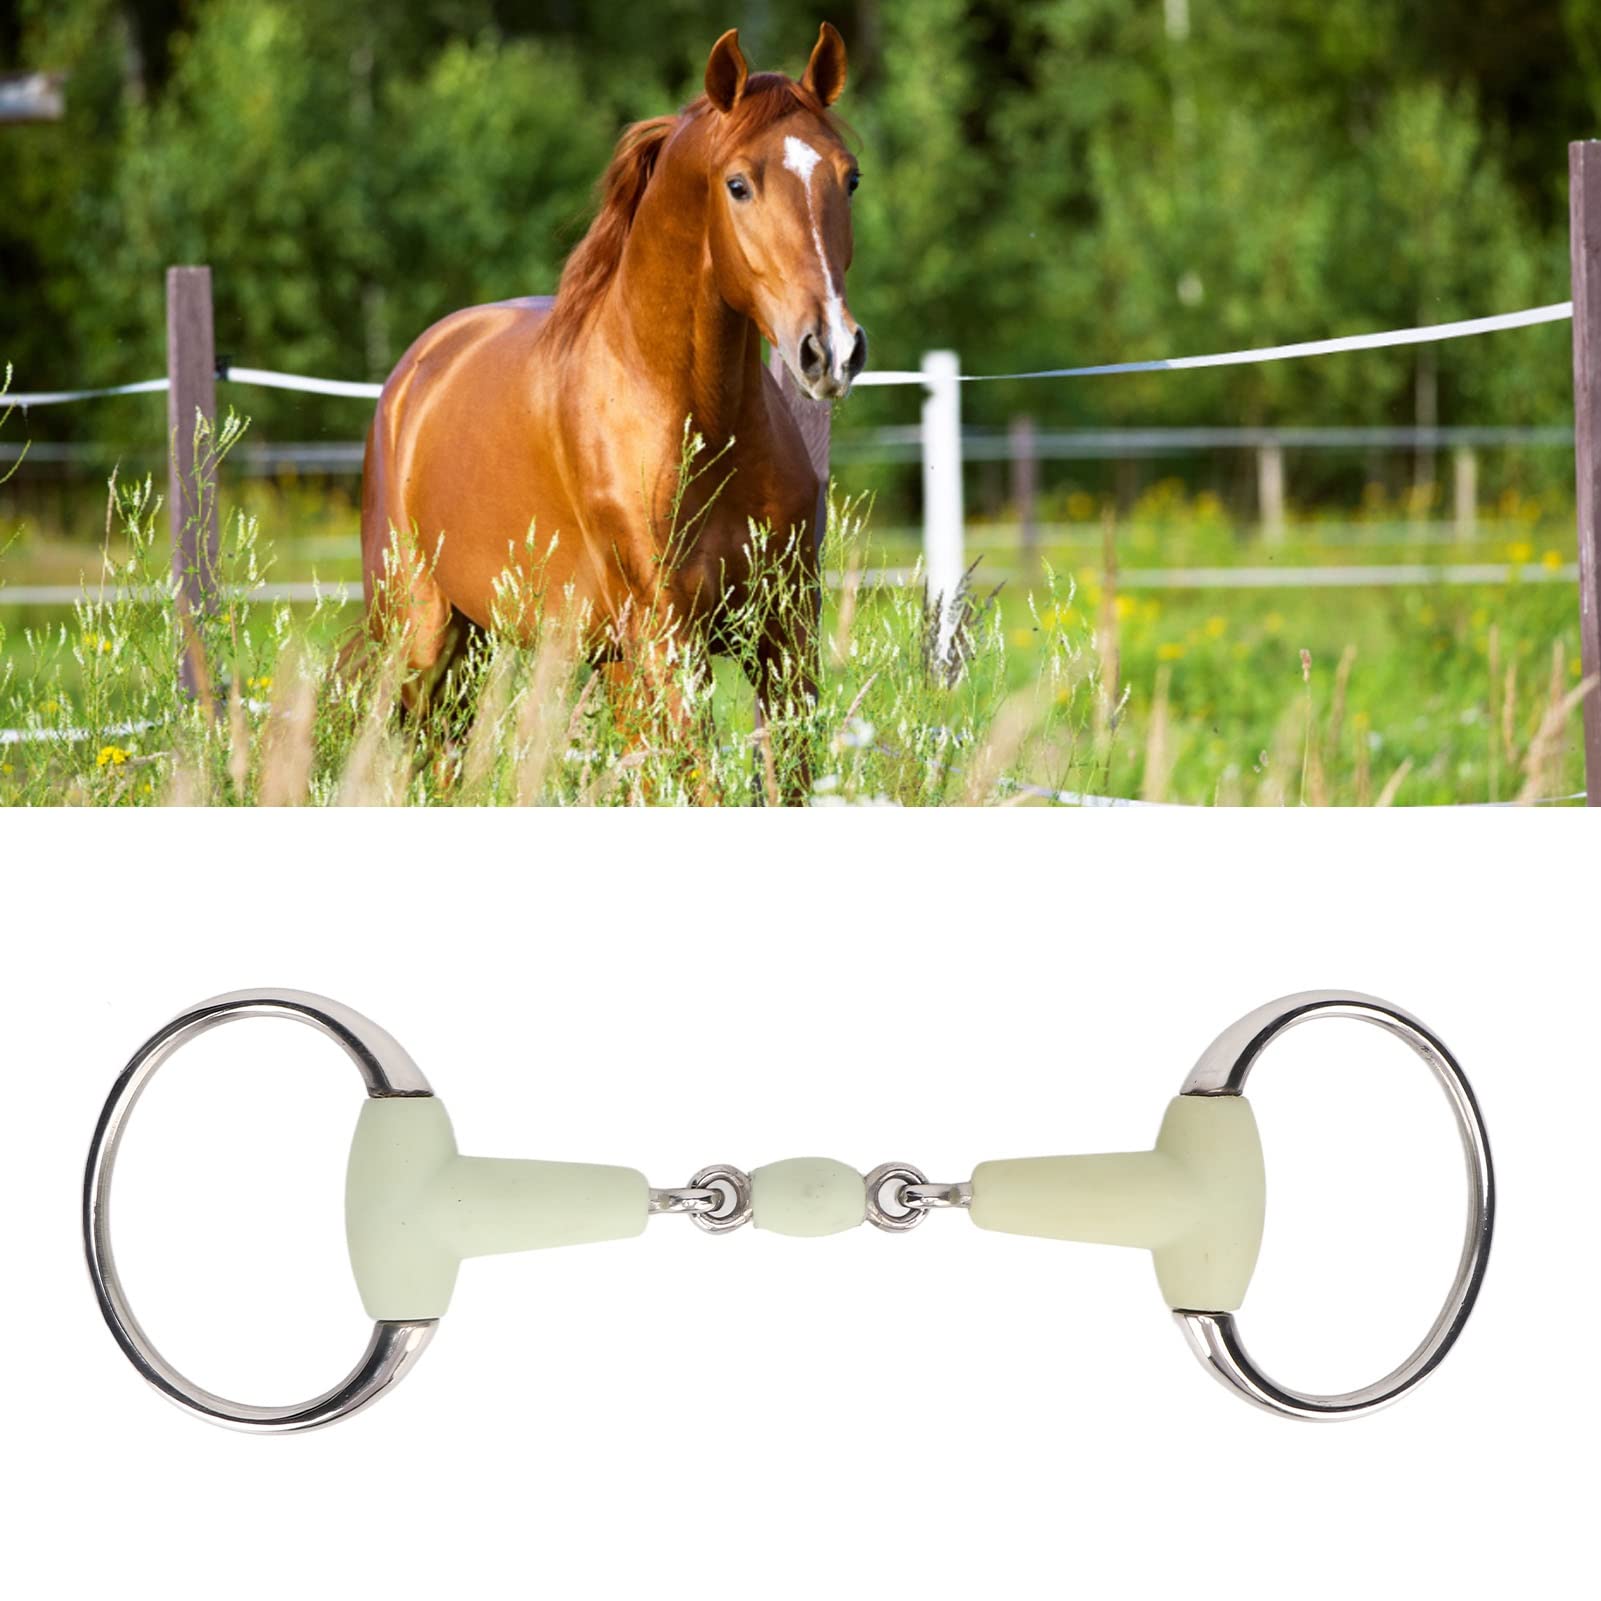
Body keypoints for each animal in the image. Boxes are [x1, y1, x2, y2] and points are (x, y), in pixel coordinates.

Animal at [360, 23, 867, 782]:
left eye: (849, 177)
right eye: (738, 185)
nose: (829, 349)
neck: (698, 424)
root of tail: (413, 374)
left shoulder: (783, 634)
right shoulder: (668, 639)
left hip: (529, 648)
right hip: (422, 637)